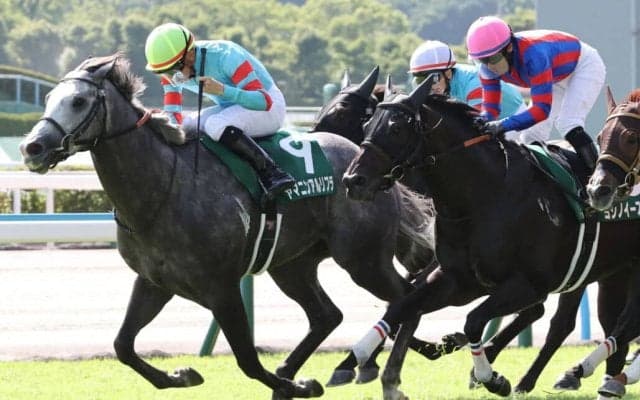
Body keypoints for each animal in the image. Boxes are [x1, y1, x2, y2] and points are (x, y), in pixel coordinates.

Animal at [19, 54, 437, 399]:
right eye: (49, 98)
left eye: (78, 101)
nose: (32, 148)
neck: (163, 188)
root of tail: (364, 168)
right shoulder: (154, 282)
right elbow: (123, 345)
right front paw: (183, 375)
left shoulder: (221, 286)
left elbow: (248, 361)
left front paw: (298, 385)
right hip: (293, 265)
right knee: (328, 315)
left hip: (364, 260)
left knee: (407, 299)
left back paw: (385, 374)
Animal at [314, 70, 635, 397]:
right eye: (367, 125)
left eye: (396, 128)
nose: (352, 180)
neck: (484, 196)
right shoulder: (458, 280)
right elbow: (402, 306)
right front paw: (355, 359)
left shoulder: (527, 284)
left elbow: (473, 321)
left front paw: (491, 377)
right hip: (607, 271)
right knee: (595, 320)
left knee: (591, 323)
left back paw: (582, 375)